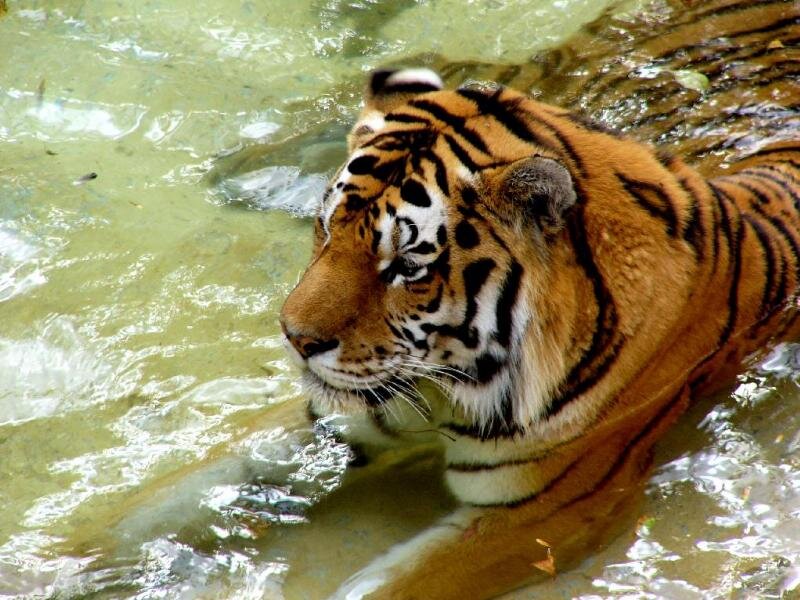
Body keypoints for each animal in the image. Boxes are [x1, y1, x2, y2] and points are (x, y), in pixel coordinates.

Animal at [277, 1, 800, 598]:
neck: (444, 386)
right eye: (325, 228)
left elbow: (391, 585)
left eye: (407, 267)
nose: (294, 337)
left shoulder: (539, 513)